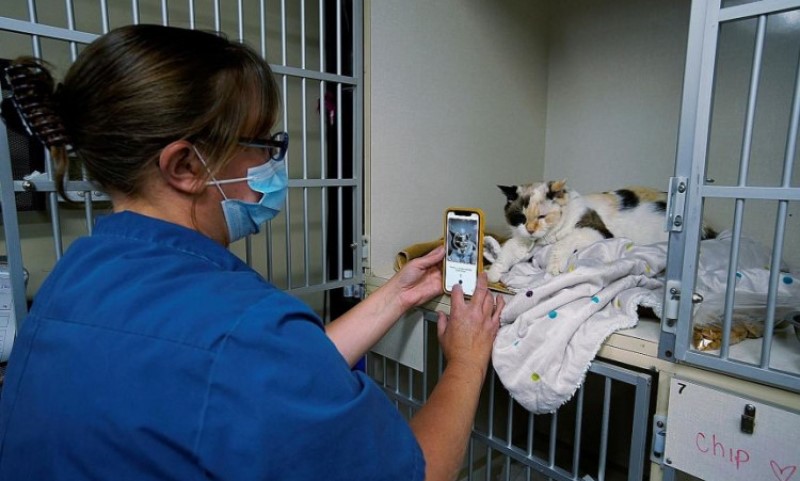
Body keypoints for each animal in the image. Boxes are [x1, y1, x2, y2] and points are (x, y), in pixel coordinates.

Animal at [486, 180, 716, 282]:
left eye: (542, 216)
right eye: (521, 217)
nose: (531, 230)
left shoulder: (596, 231)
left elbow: (564, 242)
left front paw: (554, 267)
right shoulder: (522, 240)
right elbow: (508, 250)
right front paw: (493, 273)